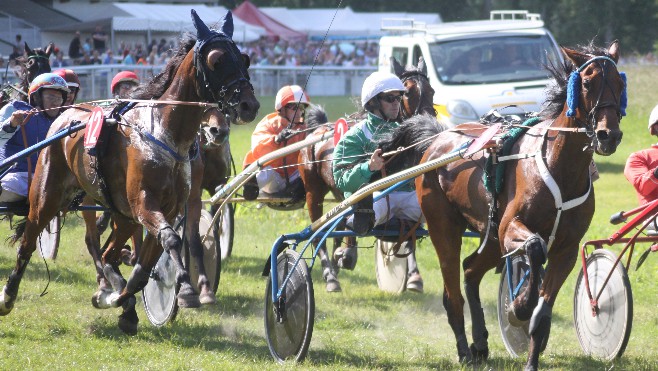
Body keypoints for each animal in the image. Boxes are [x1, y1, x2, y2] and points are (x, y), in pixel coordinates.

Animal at [0, 10, 262, 338]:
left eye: (245, 58)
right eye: (216, 60)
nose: (249, 105)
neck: (164, 133)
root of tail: (63, 116)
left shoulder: (169, 207)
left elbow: (144, 270)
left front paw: (122, 303)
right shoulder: (144, 204)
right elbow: (171, 240)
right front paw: (186, 288)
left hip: (121, 214)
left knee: (107, 253)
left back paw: (111, 290)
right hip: (47, 196)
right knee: (30, 241)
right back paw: (8, 296)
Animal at [298, 56, 436, 294]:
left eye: (432, 91)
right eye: (407, 93)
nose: (427, 121)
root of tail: (319, 130)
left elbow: (409, 233)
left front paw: (414, 276)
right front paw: (345, 255)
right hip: (313, 193)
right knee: (321, 233)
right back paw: (331, 274)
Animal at [376, 40, 624, 370]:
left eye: (620, 83)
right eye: (587, 82)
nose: (609, 135)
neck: (560, 167)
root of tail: (439, 138)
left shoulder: (567, 249)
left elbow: (542, 312)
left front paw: (531, 356)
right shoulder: (511, 226)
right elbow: (534, 248)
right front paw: (518, 306)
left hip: (490, 234)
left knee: (470, 270)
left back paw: (480, 341)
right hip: (445, 226)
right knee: (452, 292)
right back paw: (464, 350)